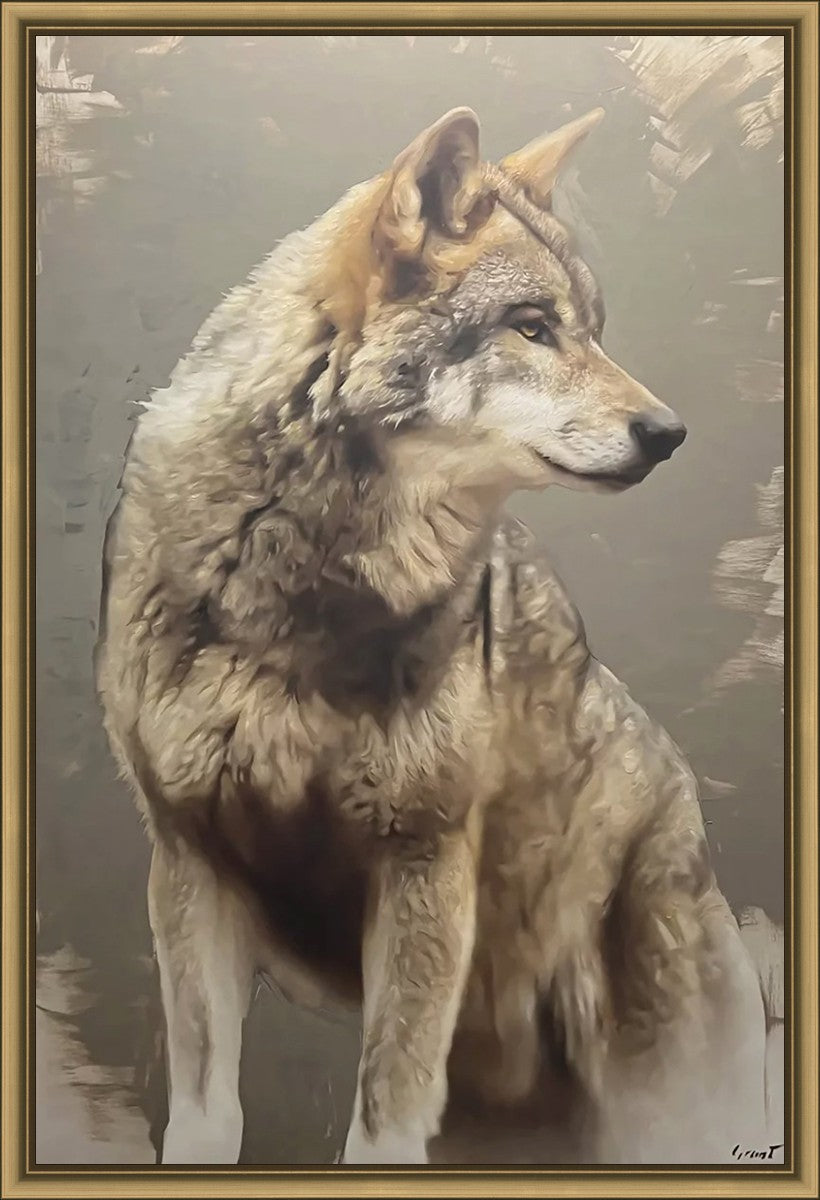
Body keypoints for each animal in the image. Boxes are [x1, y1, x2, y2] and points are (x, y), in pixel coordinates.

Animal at [96, 107, 774, 1166]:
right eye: (533, 326)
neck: (299, 591)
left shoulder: (424, 866)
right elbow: (209, 1116)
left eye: (593, 329)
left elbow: (382, 1123)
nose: (669, 433)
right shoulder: (191, 863)